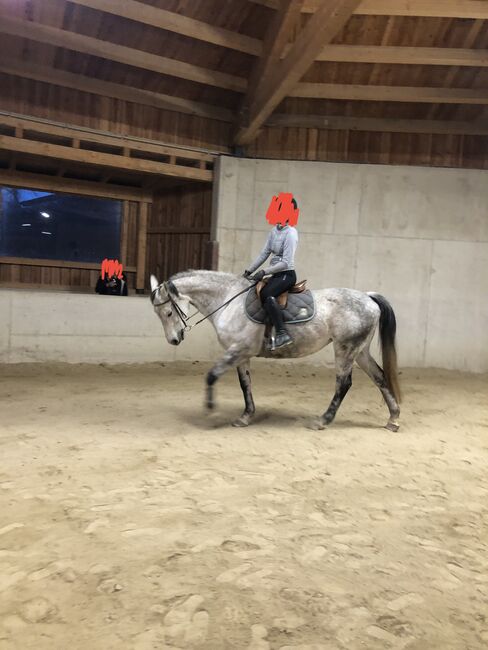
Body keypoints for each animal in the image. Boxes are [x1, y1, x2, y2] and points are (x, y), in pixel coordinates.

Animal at [150, 268, 400, 430]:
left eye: (169, 312)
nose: (174, 340)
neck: (228, 301)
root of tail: (368, 297)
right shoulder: (241, 354)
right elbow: (245, 384)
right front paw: (245, 416)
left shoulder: (238, 350)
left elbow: (211, 375)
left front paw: (210, 410)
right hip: (360, 351)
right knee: (379, 377)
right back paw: (393, 419)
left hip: (345, 348)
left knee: (344, 383)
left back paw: (323, 420)